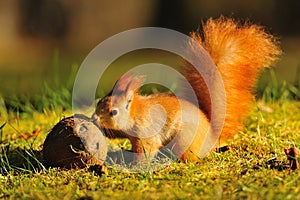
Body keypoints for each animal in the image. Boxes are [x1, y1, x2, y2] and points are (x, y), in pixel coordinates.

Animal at [91, 16, 282, 162]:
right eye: (99, 103)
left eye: (113, 112)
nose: (94, 119)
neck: (135, 113)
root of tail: (211, 137)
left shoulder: (146, 132)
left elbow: (147, 150)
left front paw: (135, 164)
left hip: (184, 140)